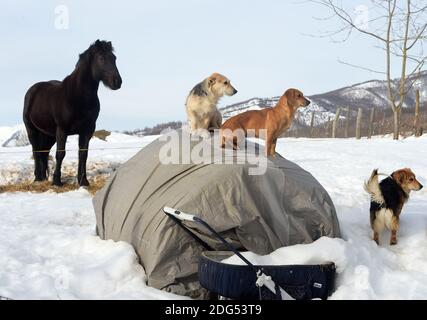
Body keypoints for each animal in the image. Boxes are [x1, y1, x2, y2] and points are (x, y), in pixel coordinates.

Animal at [23, 39, 122, 188]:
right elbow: (60, 154)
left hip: (49, 135)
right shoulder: (62, 130)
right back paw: (37, 178)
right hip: (32, 130)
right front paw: (57, 181)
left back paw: (43, 178)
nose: (117, 82)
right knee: (36, 152)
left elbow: (83, 154)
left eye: (114, 58)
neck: (78, 96)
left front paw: (83, 181)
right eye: (101, 58)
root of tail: (32, 90)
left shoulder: (87, 130)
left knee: (44, 153)